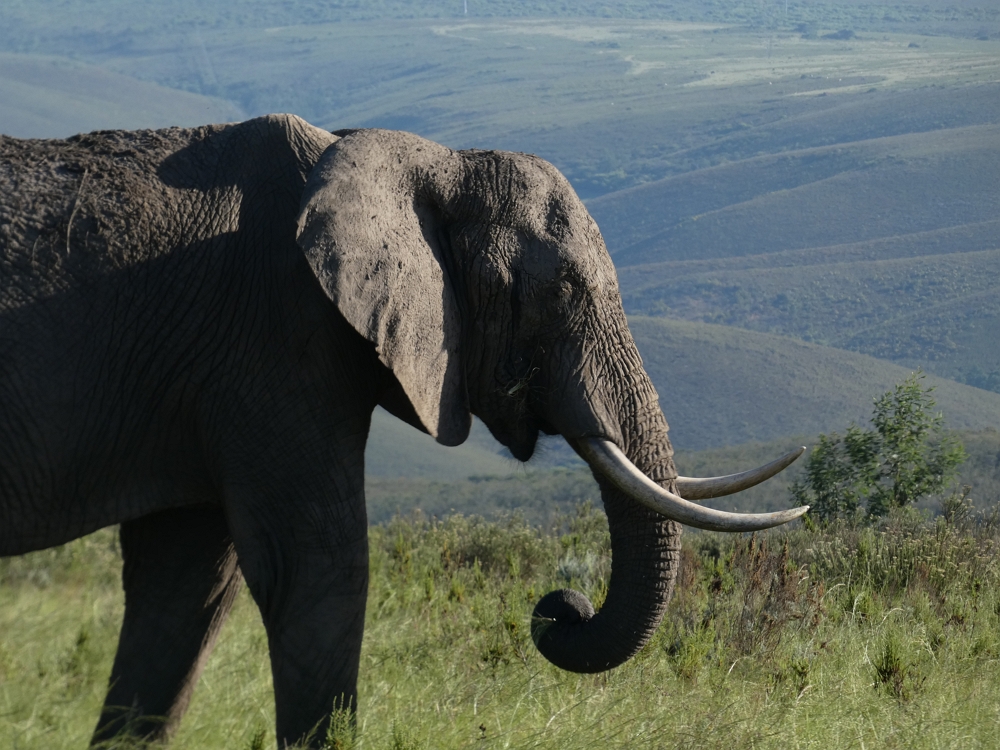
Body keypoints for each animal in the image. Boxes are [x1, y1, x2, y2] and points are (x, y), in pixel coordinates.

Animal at [0, 114, 804, 748]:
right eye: (560, 290)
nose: (560, 608)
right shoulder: (274, 344)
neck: (420, 159)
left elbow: (185, 588)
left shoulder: (203, 377)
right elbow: (319, 570)